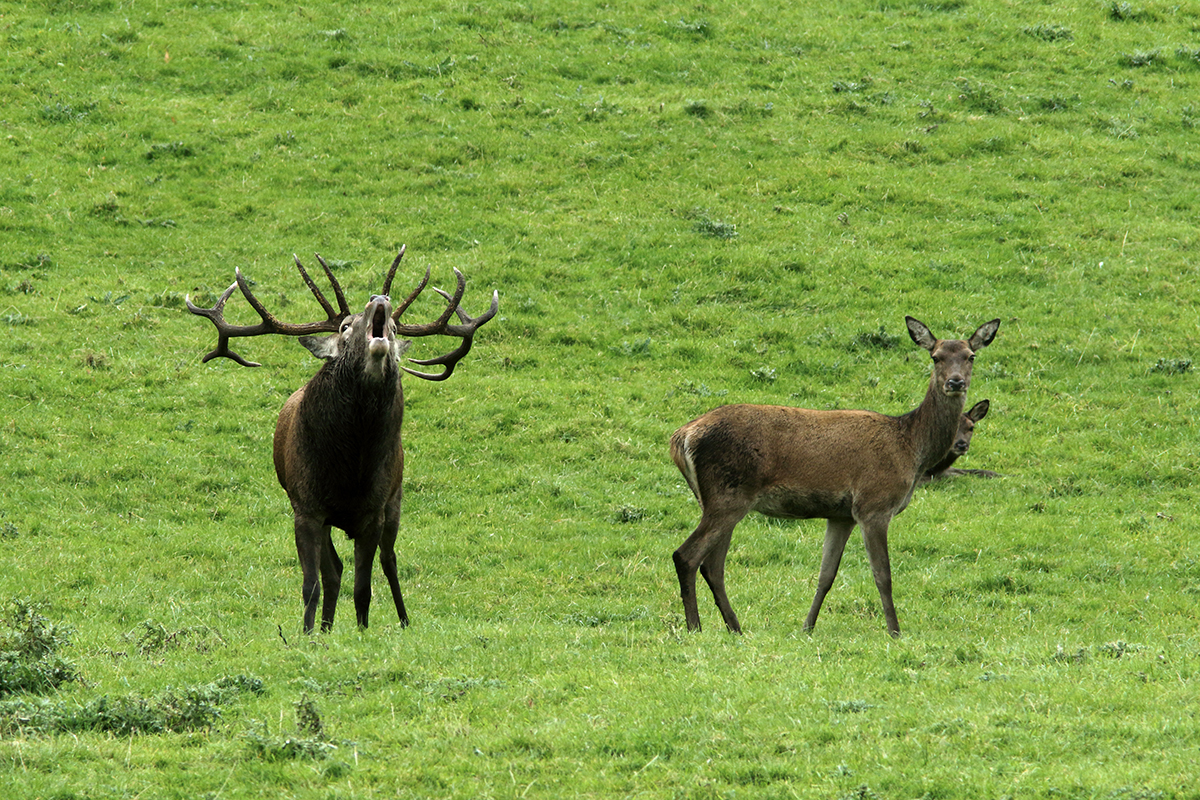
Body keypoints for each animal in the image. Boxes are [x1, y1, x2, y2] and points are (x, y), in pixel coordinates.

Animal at [190, 244, 496, 633]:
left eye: (393, 328)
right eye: (345, 327)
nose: (379, 298)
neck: (350, 470)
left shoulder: (374, 511)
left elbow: (363, 587)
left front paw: (362, 632)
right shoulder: (306, 507)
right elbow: (312, 583)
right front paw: (307, 633)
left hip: (396, 499)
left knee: (390, 560)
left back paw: (403, 621)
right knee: (333, 571)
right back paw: (325, 627)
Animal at [672, 316, 998, 633]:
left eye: (970, 356)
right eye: (935, 357)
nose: (955, 382)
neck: (910, 449)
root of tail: (682, 436)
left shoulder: (840, 516)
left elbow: (826, 574)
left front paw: (807, 627)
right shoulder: (874, 505)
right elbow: (883, 574)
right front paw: (895, 631)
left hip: (717, 500)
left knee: (713, 565)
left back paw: (735, 627)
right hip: (728, 496)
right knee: (686, 555)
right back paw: (694, 627)